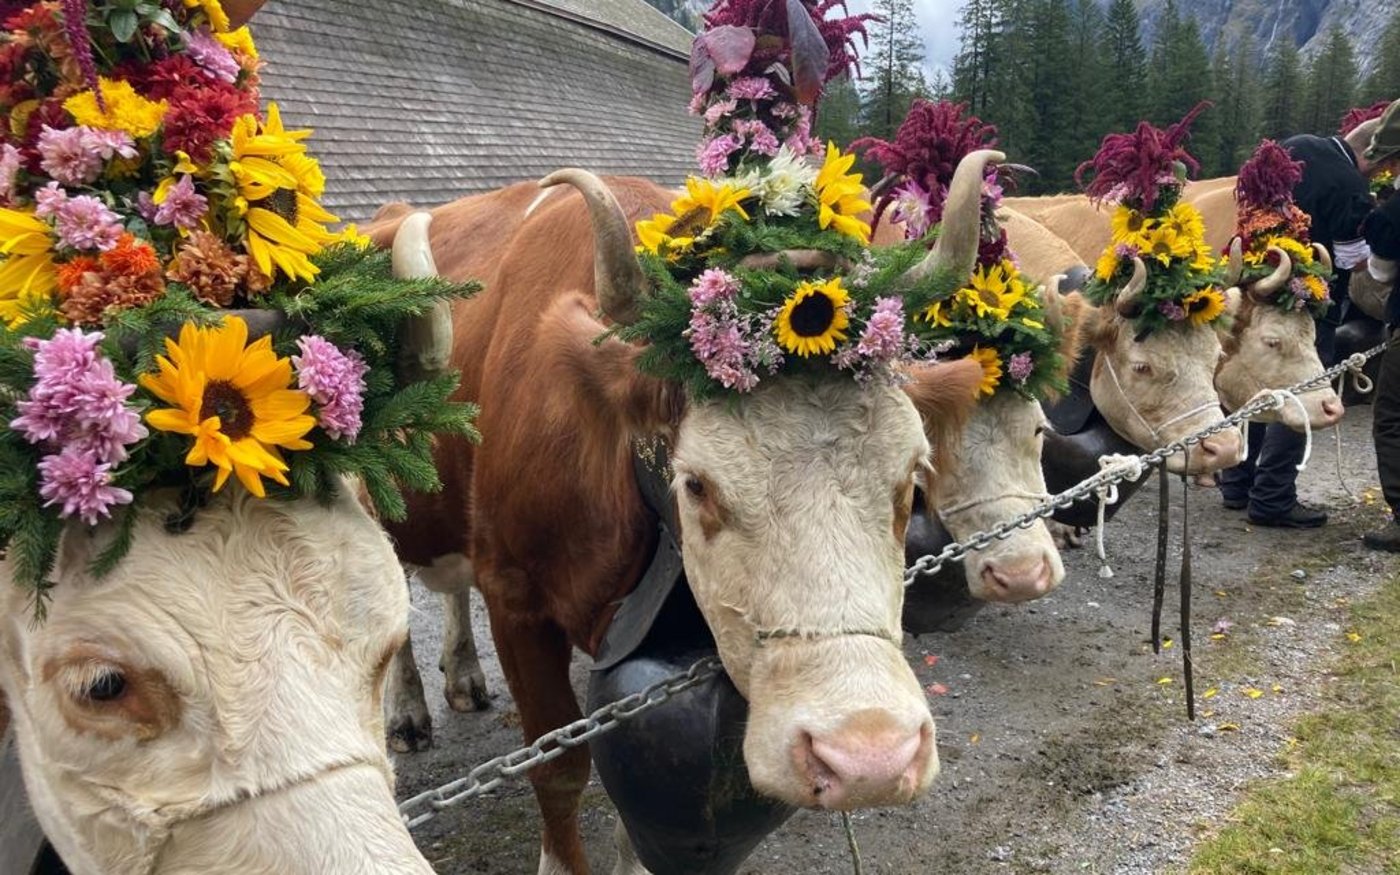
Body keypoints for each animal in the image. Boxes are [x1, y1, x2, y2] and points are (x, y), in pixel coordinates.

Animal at [364, 153, 1001, 873]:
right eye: (695, 484)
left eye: (912, 474)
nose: (869, 756)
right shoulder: (514, 597)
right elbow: (559, 767)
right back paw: (408, 712)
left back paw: (464, 676)